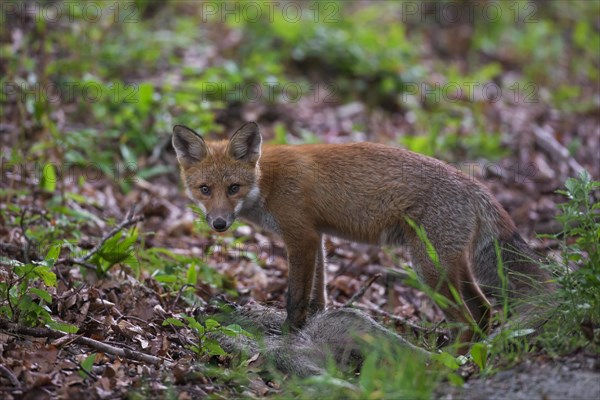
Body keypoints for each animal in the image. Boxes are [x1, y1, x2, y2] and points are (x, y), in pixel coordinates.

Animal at [171, 120, 552, 342]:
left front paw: (289, 332)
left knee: (466, 321)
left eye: (233, 188)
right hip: (452, 266)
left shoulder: (301, 237)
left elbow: (295, 296)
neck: (268, 181)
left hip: (429, 269)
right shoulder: (317, 237)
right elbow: (319, 292)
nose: (219, 224)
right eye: (205, 190)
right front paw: (317, 322)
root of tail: (476, 186)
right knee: (484, 310)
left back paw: (445, 363)